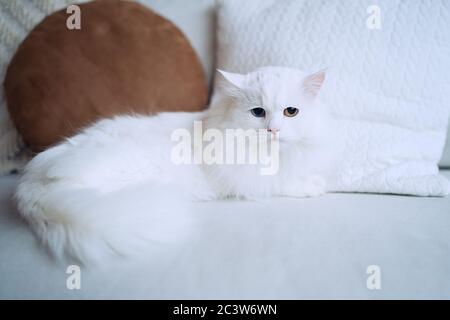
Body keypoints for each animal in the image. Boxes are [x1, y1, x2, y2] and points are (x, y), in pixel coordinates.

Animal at [15, 66, 332, 264]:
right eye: (258, 112)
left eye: (291, 112)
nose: (273, 130)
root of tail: (32, 183)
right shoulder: (251, 179)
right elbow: (285, 182)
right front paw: (315, 186)